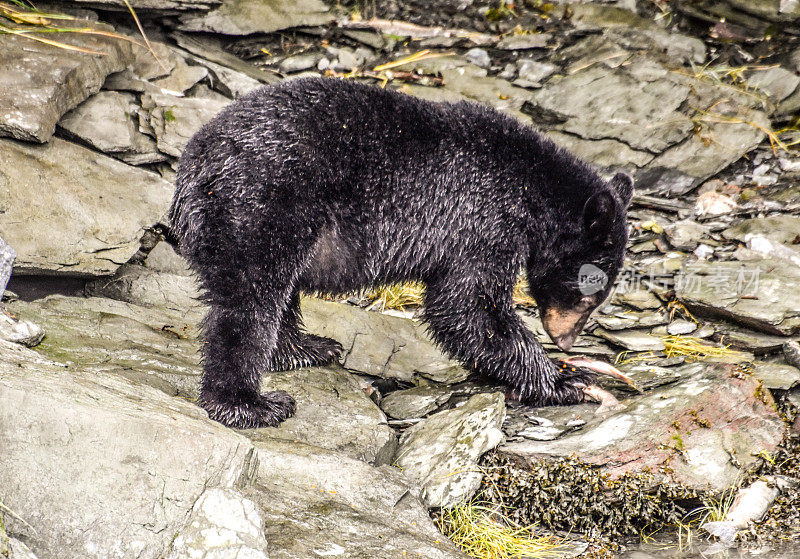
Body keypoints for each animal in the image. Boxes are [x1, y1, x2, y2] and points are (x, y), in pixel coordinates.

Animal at [169, 77, 632, 428]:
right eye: (590, 290)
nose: (566, 339)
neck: (532, 191)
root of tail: (194, 167)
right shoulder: (483, 222)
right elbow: (469, 307)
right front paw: (567, 380)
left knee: (278, 291)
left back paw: (306, 347)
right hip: (263, 206)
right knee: (250, 301)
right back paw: (249, 403)